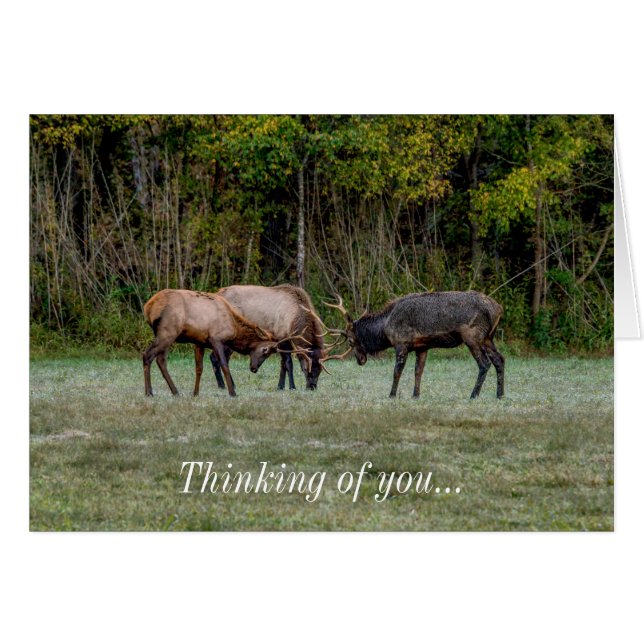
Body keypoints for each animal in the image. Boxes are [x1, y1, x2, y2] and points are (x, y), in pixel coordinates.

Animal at [142, 289, 308, 397]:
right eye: (265, 350)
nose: (254, 368)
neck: (233, 328)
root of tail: (148, 307)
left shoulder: (199, 341)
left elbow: (199, 368)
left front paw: (195, 393)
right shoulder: (216, 339)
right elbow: (224, 365)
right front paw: (232, 392)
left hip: (166, 334)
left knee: (161, 359)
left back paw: (175, 391)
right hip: (168, 332)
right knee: (147, 354)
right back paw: (149, 392)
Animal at [197, 284, 334, 394]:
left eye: (320, 370)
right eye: (306, 369)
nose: (312, 387)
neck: (293, 321)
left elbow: (282, 364)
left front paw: (280, 386)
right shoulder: (282, 338)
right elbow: (288, 363)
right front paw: (292, 387)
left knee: (216, 357)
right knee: (217, 357)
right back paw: (225, 385)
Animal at [324, 291, 505, 399]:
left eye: (350, 340)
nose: (360, 359)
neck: (385, 328)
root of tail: (497, 309)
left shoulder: (401, 343)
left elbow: (397, 371)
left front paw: (392, 395)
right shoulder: (422, 346)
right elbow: (418, 371)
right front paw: (415, 395)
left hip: (473, 336)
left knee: (484, 363)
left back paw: (473, 395)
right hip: (488, 338)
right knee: (499, 360)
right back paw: (500, 394)